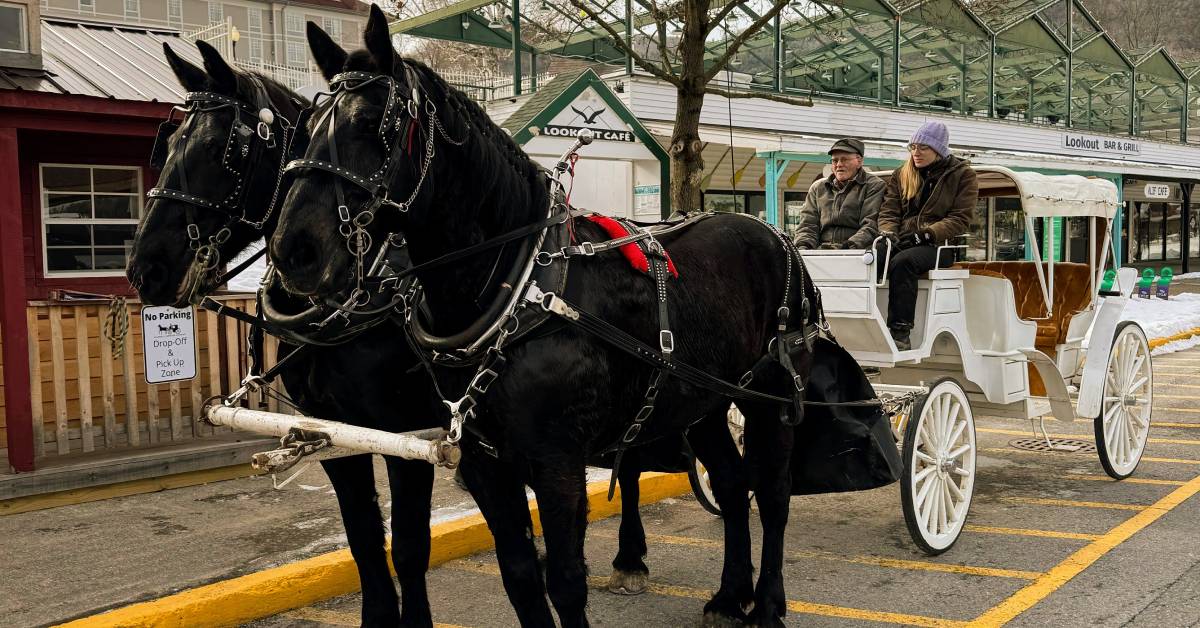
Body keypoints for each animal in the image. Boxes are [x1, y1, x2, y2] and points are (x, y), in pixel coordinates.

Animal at [268, 7, 820, 624]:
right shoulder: (485, 464)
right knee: (730, 482)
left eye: (370, 124)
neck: (520, 287)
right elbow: (521, 577)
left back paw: (767, 602)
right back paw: (730, 595)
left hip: (771, 394)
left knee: (772, 494)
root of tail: (772, 233)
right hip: (701, 400)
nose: (294, 250)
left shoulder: (557, 464)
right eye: (305, 129)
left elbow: (565, 581)